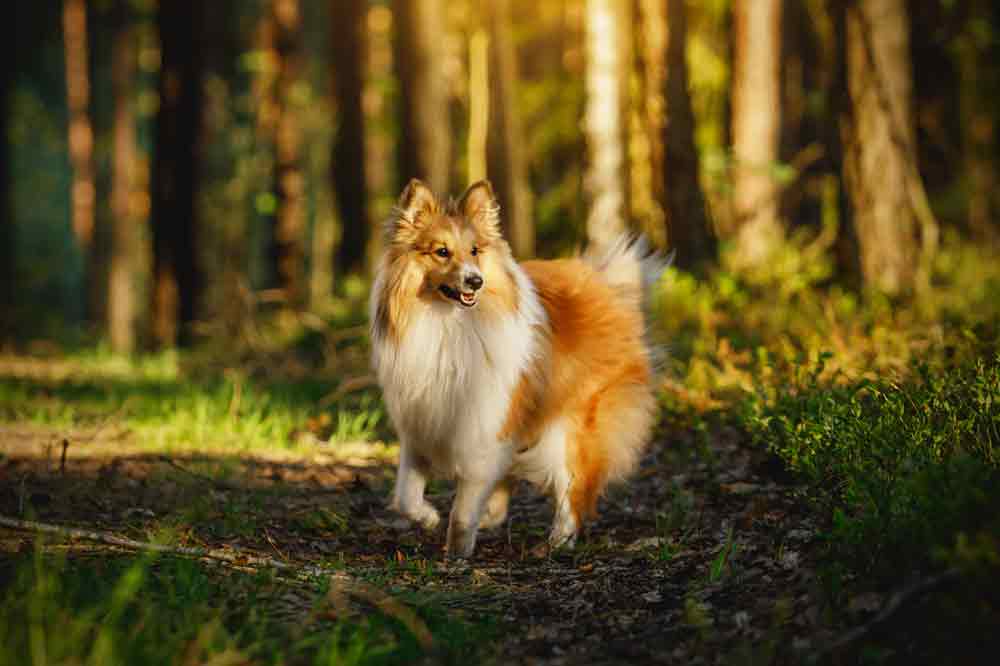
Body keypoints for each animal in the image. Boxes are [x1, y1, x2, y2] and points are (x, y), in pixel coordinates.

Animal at [368, 178, 664, 556]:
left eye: (475, 251)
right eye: (441, 252)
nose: (475, 281)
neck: (448, 325)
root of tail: (607, 287)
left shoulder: (485, 426)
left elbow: (463, 507)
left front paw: (457, 550)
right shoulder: (420, 426)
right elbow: (405, 496)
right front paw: (429, 517)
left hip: (571, 427)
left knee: (573, 490)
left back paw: (558, 542)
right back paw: (493, 517)